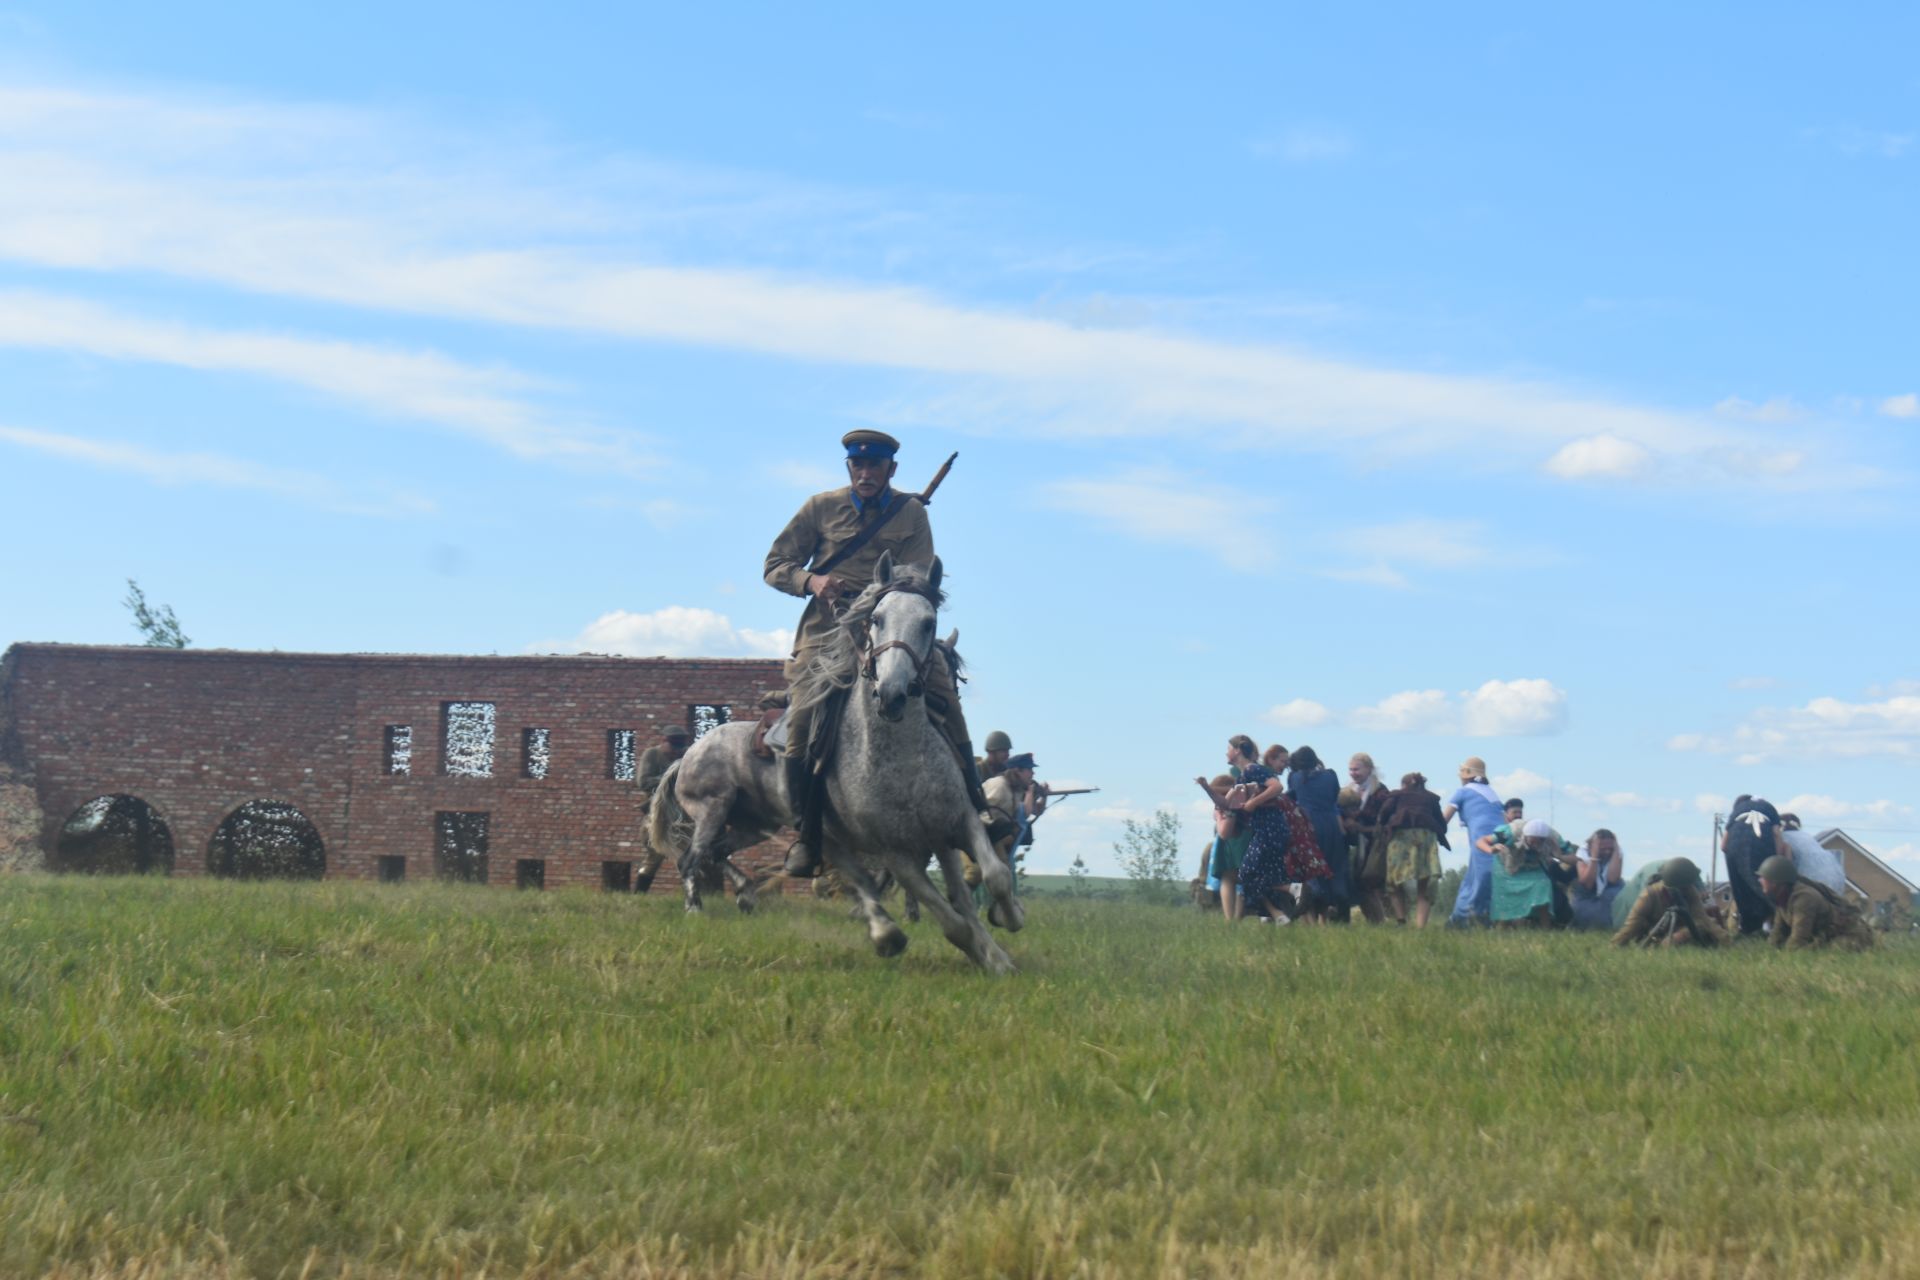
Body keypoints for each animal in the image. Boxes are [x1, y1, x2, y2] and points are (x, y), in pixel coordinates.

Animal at [645, 556, 1029, 974]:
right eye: (876, 618)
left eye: (929, 622)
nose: (891, 694)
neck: (903, 760)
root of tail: (687, 756)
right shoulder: (897, 853)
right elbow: (949, 917)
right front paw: (979, 948)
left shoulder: (956, 824)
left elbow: (991, 878)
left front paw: (1003, 934)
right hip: (716, 810)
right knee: (693, 858)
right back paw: (699, 908)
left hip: (758, 826)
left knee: (723, 854)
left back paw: (750, 895)